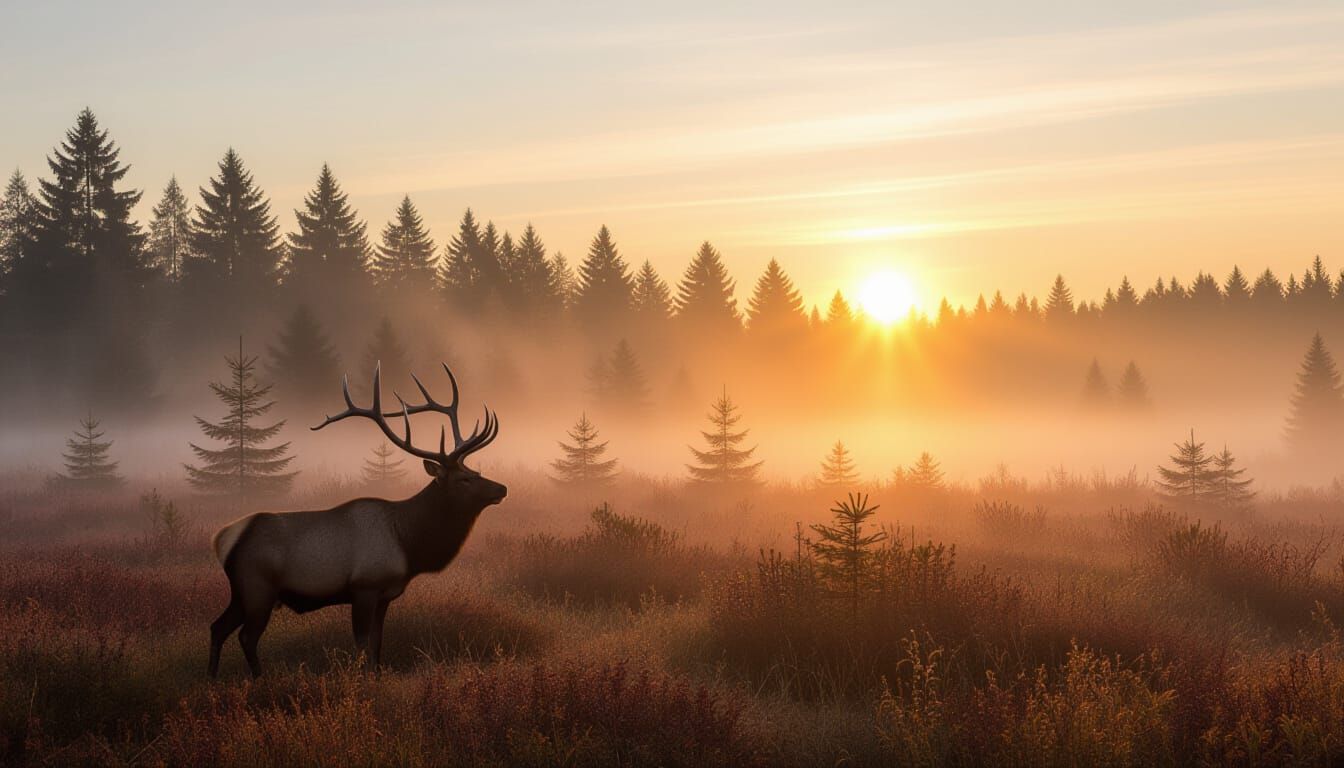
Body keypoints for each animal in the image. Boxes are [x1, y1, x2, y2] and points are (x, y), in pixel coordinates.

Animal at [207, 363, 505, 678]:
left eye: (475, 471)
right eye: (464, 479)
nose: (502, 489)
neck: (407, 542)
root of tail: (223, 538)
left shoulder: (385, 595)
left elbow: (377, 643)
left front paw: (377, 675)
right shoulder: (365, 587)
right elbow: (362, 644)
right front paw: (364, 678)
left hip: (241, 593)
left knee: (217, 627)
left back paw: (213, 679)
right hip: (258, 588)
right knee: (246, 636)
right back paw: (259, 679)